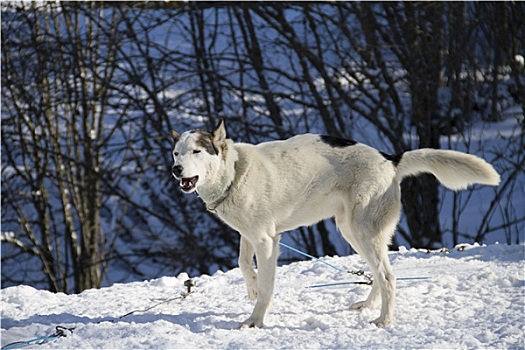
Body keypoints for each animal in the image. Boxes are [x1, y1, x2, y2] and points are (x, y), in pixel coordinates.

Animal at [171, 120, 500, 328]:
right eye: (176, 152)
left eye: (197, 151)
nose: (175, 169)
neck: (235, 173)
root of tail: (389, 159)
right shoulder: (251, 235)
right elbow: (243, 264)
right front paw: (251, 288)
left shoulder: (266, 241)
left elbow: (266, 287)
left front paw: (255, 320)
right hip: (353, 232)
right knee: (379, 275)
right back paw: (368, 306)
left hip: (362, 232)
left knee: (388, 277)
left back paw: (384, 320)